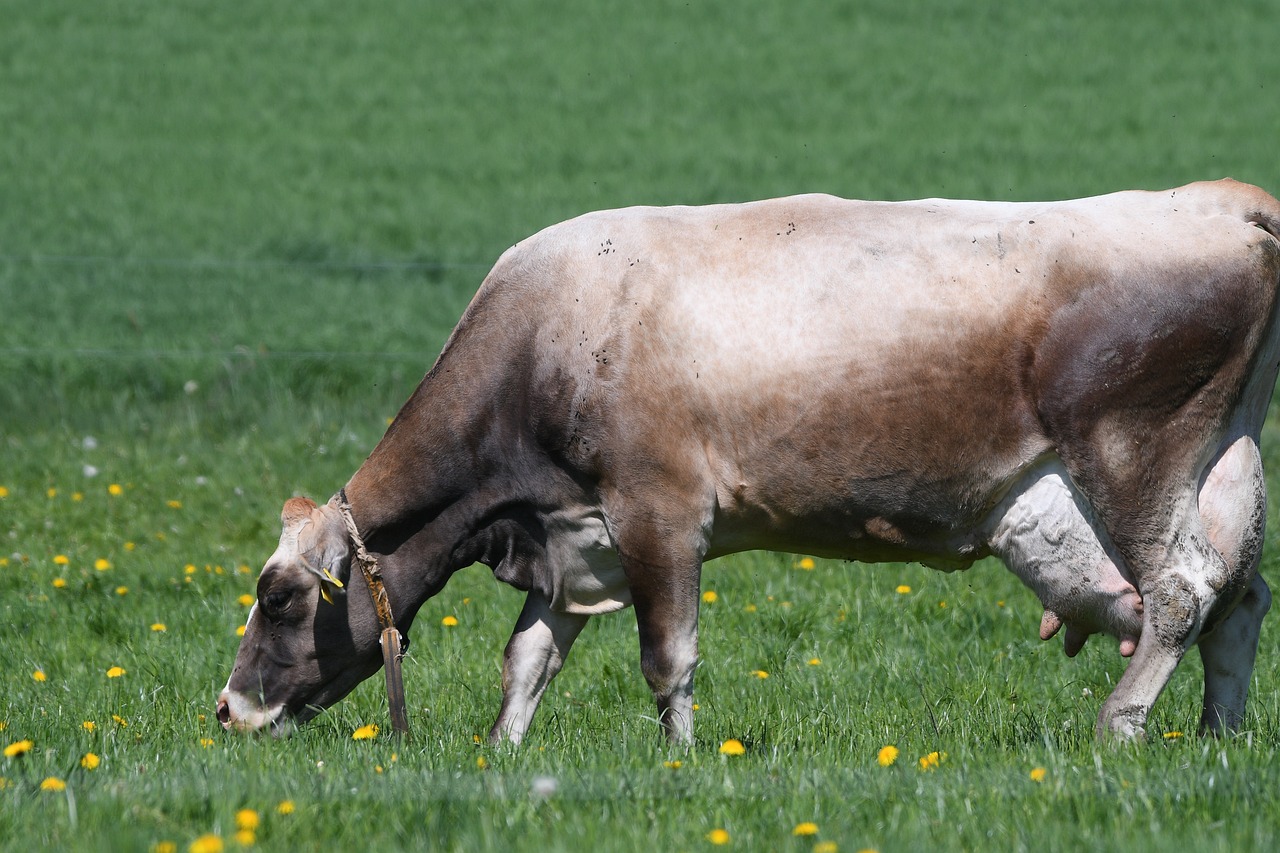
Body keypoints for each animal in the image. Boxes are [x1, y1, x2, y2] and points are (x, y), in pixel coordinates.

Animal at [215, 180, 1280, 742]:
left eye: (284, 598)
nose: (227, 709)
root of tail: (1216, 201)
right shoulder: (571, 536)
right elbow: (527, 656)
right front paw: (502, 754)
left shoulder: (658, 511)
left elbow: (666, 654)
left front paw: (682, 760)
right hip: (1226, 467)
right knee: (1238, 596)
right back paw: (1216, 737)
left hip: (1133, 455)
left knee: (1182, 589)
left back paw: (1119, 727)